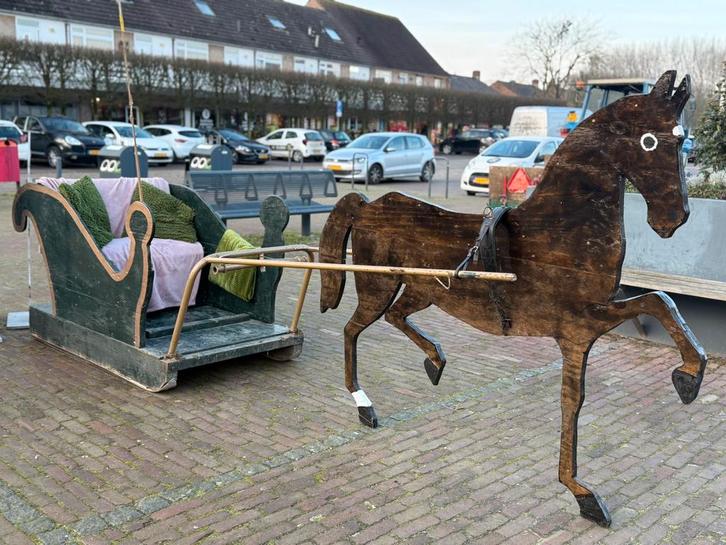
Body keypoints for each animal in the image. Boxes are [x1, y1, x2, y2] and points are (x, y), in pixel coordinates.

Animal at [317, 71, 706, 527]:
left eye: (683, 141)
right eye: (648, 141)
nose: (673, 219)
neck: (563, 227)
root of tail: (367, 204)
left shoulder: (596, 317)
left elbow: (661, 302)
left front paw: (688, 378)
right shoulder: (580, 326)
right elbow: (575, 397)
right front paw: (584, 495)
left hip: (422, 290)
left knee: (395, 318)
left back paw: (435, 362)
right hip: (377, 285)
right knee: (352, 330)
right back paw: (365, 405)